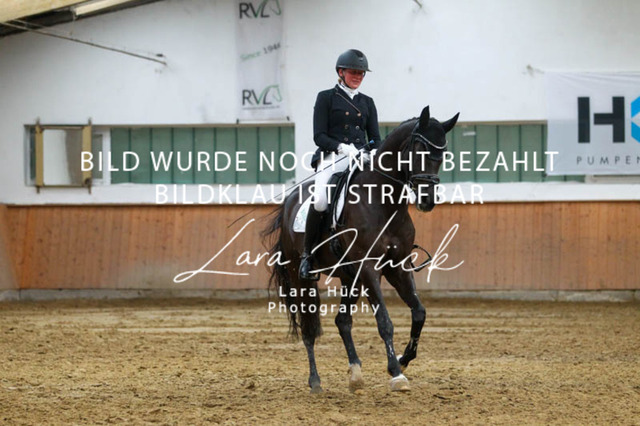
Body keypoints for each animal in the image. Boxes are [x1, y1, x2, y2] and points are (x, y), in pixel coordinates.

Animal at [262, 106, 459, 393]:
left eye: (443, 153)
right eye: (419, 148)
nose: (427, 200)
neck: (383, 202)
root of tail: (289, 201)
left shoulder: (397, 268)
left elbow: (419, 312)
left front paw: (404, 359)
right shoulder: (369, 268)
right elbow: (384, 322)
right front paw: (396, 372)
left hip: (349, 276)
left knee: (342, 321)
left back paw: (355, 372)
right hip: (302, 278)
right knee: (309, 326)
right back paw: (315, 380)